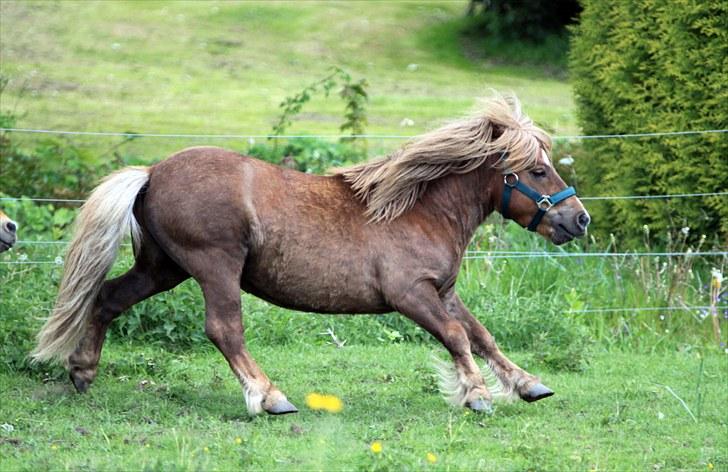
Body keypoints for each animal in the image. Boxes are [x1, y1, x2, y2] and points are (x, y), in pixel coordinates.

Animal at [32, 94, 592, 414]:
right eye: (538, 170)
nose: (579, 220)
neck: (418, 209)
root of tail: (152, 172)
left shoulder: (444, 292)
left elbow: (480, 335)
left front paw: (527, 384)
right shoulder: (410, 294)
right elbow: (457, 337)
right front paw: (476, 396)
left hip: (161, 268)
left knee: (107, 298)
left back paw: (82, 372)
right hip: (214, 266)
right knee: (224, 329)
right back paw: (269, 398)